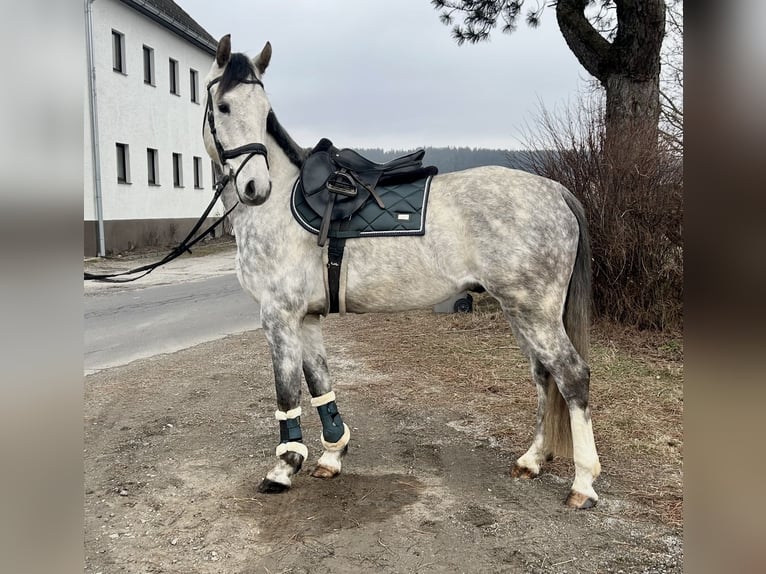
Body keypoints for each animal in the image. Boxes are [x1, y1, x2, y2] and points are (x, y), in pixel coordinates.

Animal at [201, 36, 604, 510]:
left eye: (264, 110)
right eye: (224, 106)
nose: (254, 189)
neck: (281, 204)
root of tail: (555, 190)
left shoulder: (278, 317)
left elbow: (287, 392)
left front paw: (284, 467)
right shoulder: (308, 318)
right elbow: (320, 383)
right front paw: (332, 456)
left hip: (534, 312)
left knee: (571, 376)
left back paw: (583, 484)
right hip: (521, 312)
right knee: (544, 375)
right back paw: (532, 460)